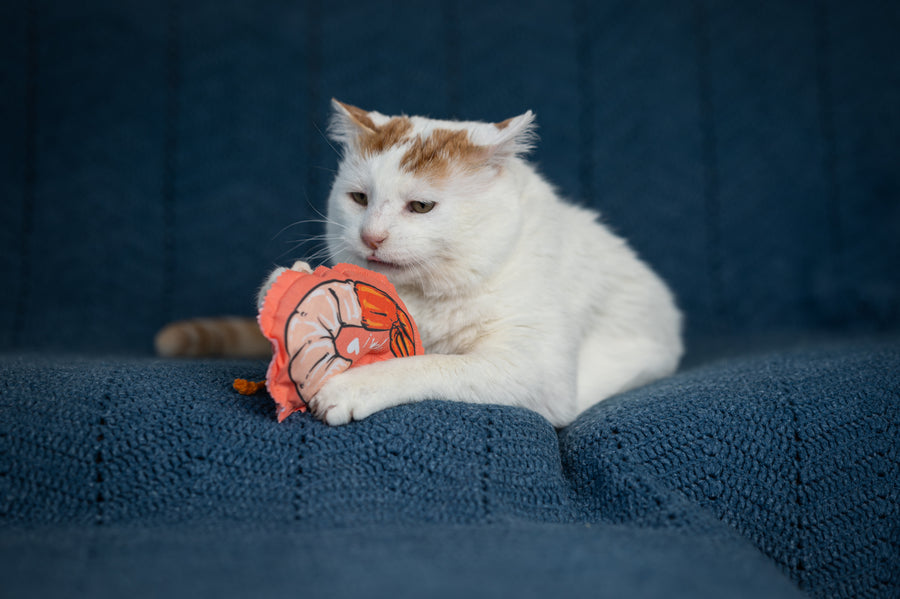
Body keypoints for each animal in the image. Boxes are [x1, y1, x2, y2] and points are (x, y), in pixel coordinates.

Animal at [160, 99, 684, 426]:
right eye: (358, 198)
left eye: (421, 207)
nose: (371, 236)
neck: (427, 296)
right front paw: (289, 284)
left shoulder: (534, 370)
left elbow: (431, 366)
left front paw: (353, 386)